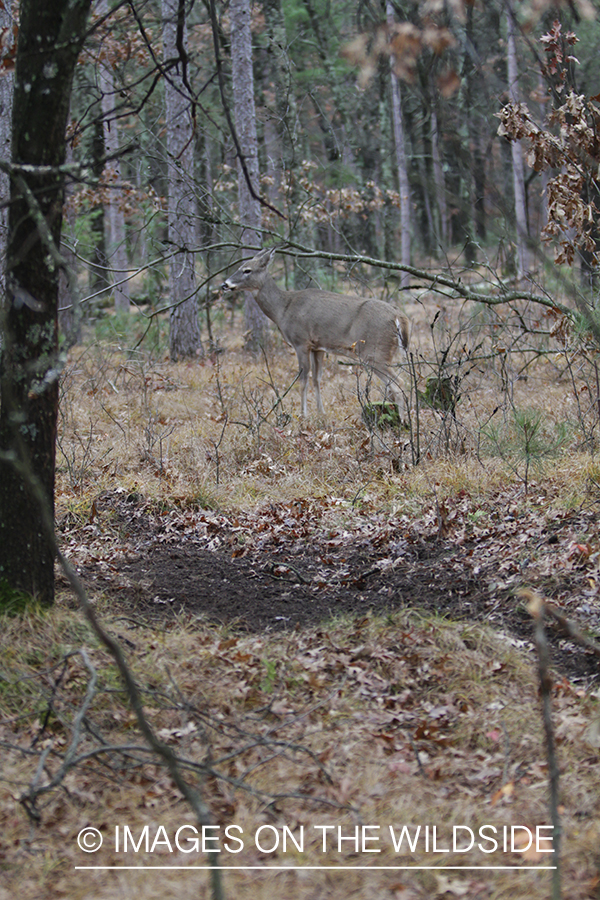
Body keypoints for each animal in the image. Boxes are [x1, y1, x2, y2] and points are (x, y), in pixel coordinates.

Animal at [221, 250, 412, 418]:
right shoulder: (318, 347)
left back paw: (403, 422)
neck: (283, 310)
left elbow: (303, 380)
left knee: (399, 384)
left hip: (374, 351)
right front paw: (321, 412)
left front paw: (303, 414)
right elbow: (317, 379)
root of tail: (399, 316)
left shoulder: (301, 342)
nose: (224, 284)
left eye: (247, 270)